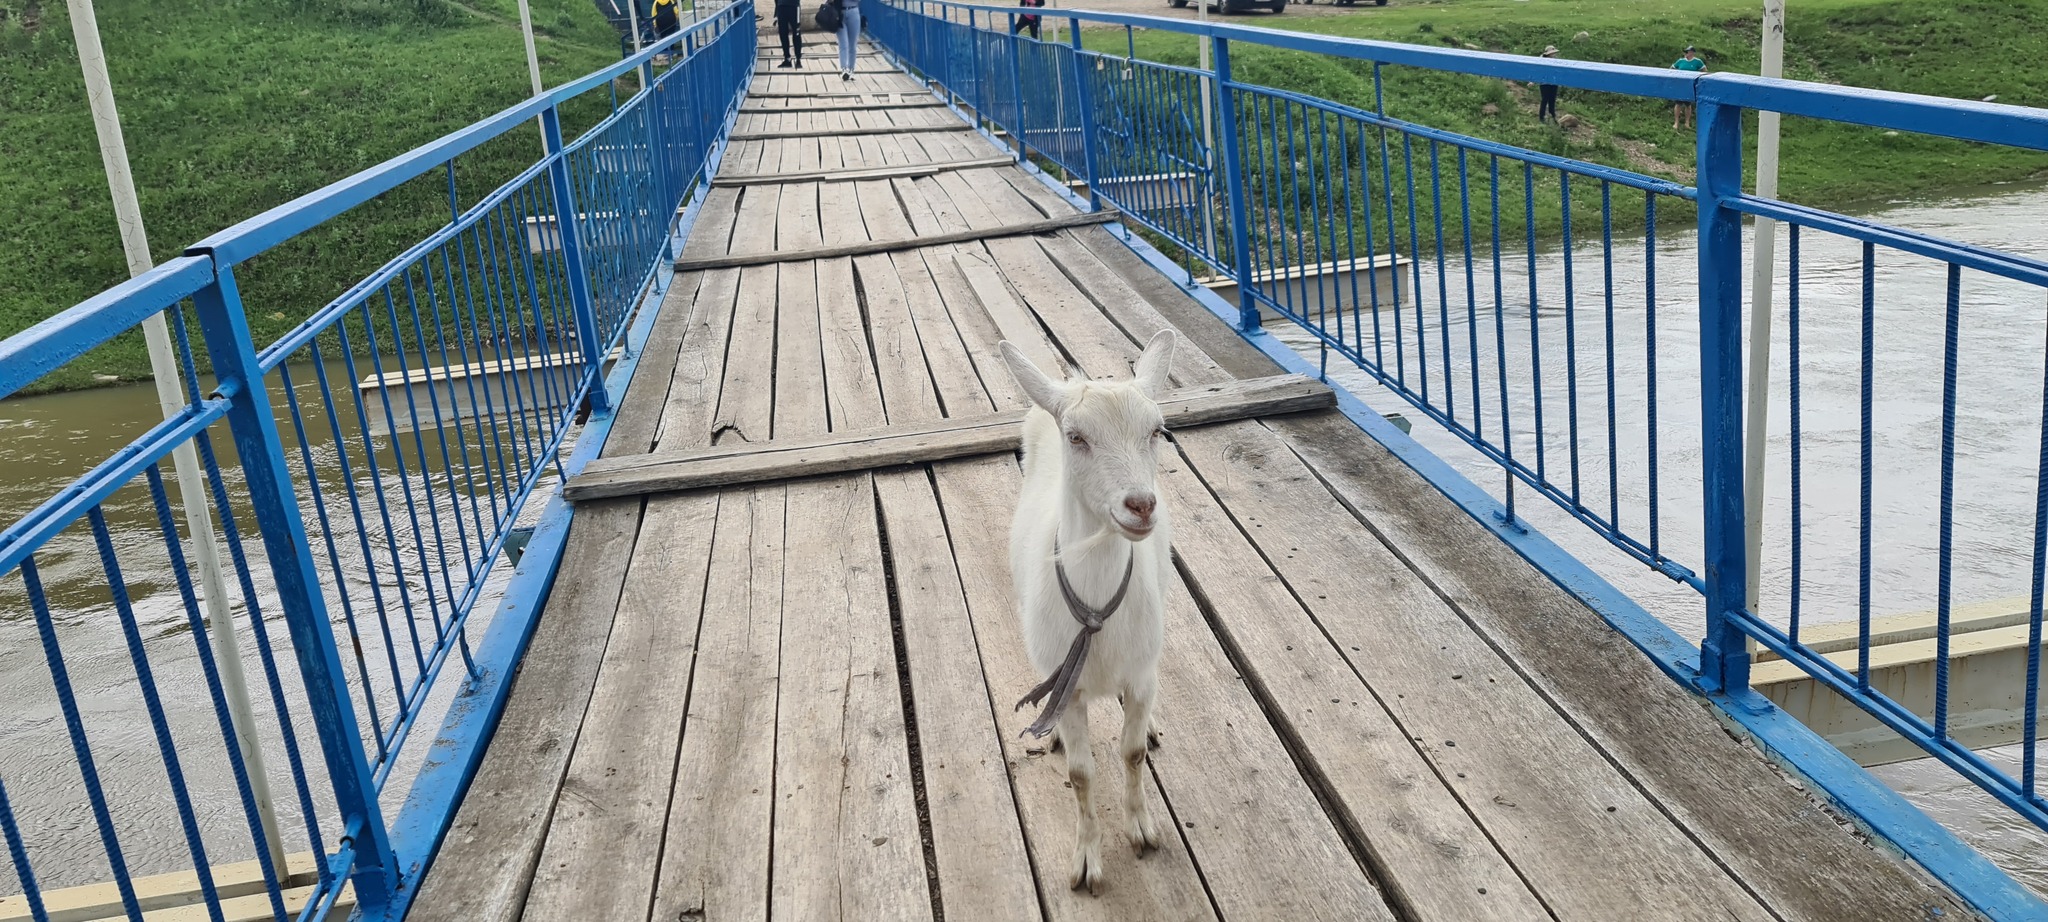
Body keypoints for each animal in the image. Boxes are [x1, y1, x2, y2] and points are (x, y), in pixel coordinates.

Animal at [999, 329, 1179, 893]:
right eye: (1076, 436)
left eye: (1158, 431)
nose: (1141, 505)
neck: (1097, 613)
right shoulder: (1071, 685)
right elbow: (1081, 774)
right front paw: (1086, 862)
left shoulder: (1140, 672)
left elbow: (1131, 752)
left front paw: (1141, 829)